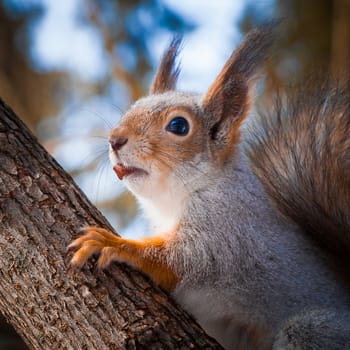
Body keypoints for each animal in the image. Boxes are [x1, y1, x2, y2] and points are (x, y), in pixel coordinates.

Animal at [67, 23, 350, 348]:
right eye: (131, 108)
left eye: (179, 126)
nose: (115, 139)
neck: (172, 201)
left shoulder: (225, 232)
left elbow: (182, 260)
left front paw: (115, 244)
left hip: (310, 331)